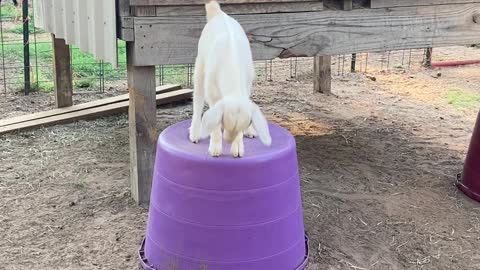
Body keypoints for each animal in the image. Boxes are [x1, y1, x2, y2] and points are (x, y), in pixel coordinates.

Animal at [189, 0, 272, 157]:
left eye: (242, 126)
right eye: (223, 122)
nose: (227, 141)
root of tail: (219, 14)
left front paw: (238, 147)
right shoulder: (213, 95)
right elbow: (214, 125)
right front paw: (215, 148)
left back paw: (250, 132)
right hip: (200, 68)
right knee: (197, 101)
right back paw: (195, 133)